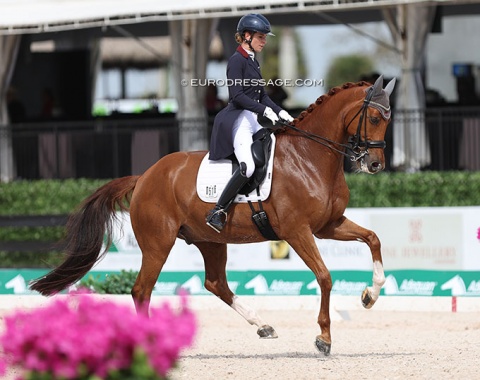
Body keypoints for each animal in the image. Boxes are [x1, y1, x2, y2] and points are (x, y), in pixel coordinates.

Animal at [31, 75, 396, 354]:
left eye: (388, 119)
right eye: (375, 119)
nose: (375, 165)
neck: (310, 156)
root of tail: (145, 176)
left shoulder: (328, 225)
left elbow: (374, 239)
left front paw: (370, 295)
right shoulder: (297, 231)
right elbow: (324, 276)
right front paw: (323, 338)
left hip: (209, 239)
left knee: (215, 282)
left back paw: (263, 325)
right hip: (158, 244)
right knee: (141, 291)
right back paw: (150, 344)